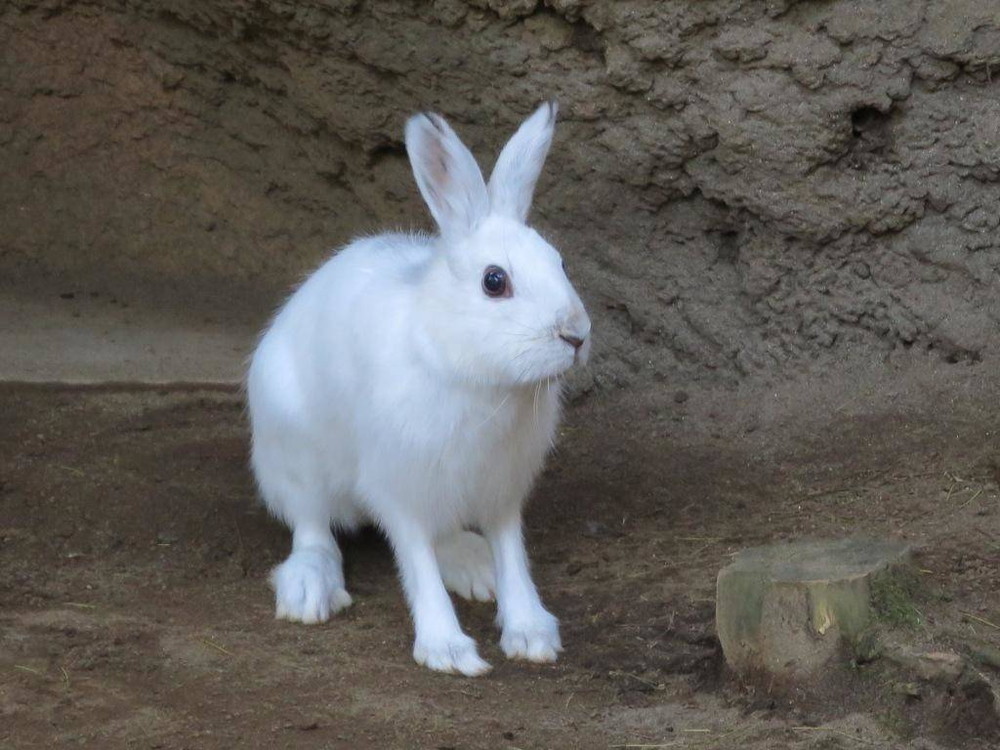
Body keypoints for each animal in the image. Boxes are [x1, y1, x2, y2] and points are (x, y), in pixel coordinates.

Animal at [249, 100, 588, 676]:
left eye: (560, 263)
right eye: (494, 281)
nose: (575, 335)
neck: (471, 371)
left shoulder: (501, 489)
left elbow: (512, 553)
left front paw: (531, 633)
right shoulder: (398, 482)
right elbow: (416, 561)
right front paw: (447, 649)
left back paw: (474, 568)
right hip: (295, 454)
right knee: (312, 526)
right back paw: (310, 588)